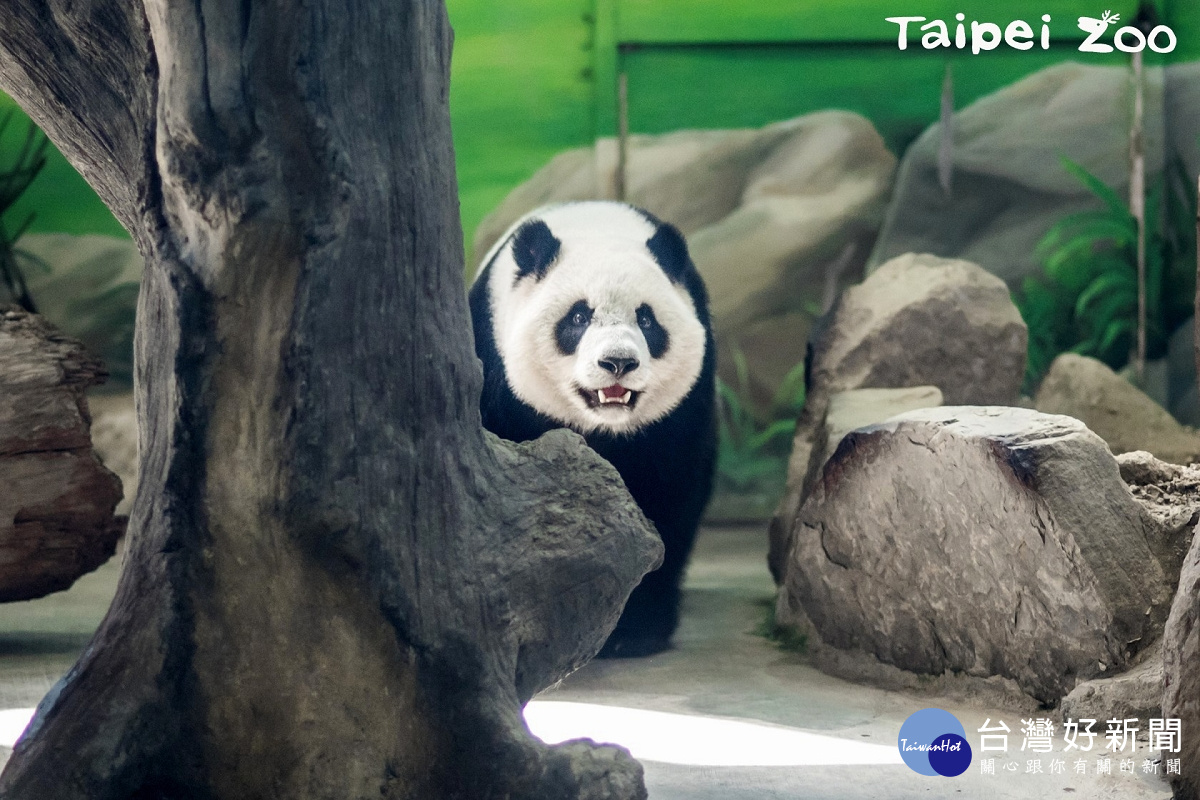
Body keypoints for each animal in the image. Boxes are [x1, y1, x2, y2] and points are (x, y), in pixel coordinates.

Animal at [465, 200, 710, 657]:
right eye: (579, 316)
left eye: (646, 320)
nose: (618, 362)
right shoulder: (496, 374)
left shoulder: (681, 412)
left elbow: (670, 494)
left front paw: (635, 629)